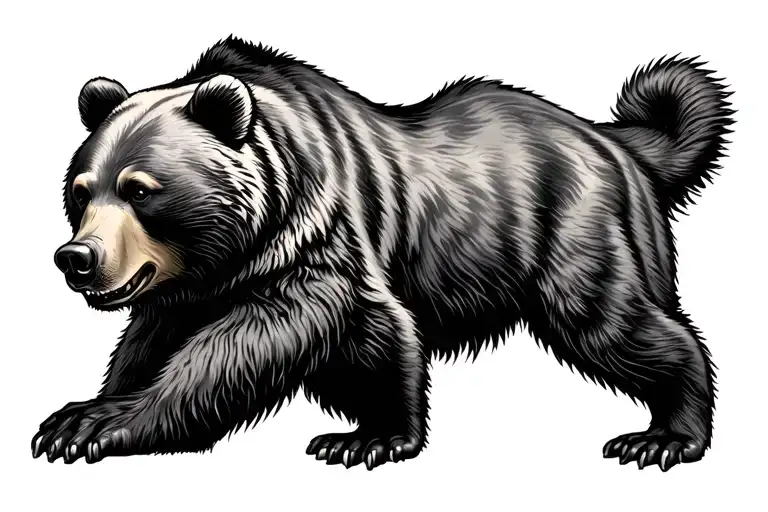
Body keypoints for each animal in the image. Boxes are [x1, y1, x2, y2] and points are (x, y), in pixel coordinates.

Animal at [32, 36, 733, 472]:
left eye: (140, 189)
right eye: (81, 190)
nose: (78, 257)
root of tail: (616, 141)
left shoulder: (319, 237)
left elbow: (280, 335)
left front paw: (367, 440)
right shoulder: (191, 286)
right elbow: (150, 343)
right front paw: (78, 414)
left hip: (573, 226)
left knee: (608, 321)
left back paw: (665, 436)